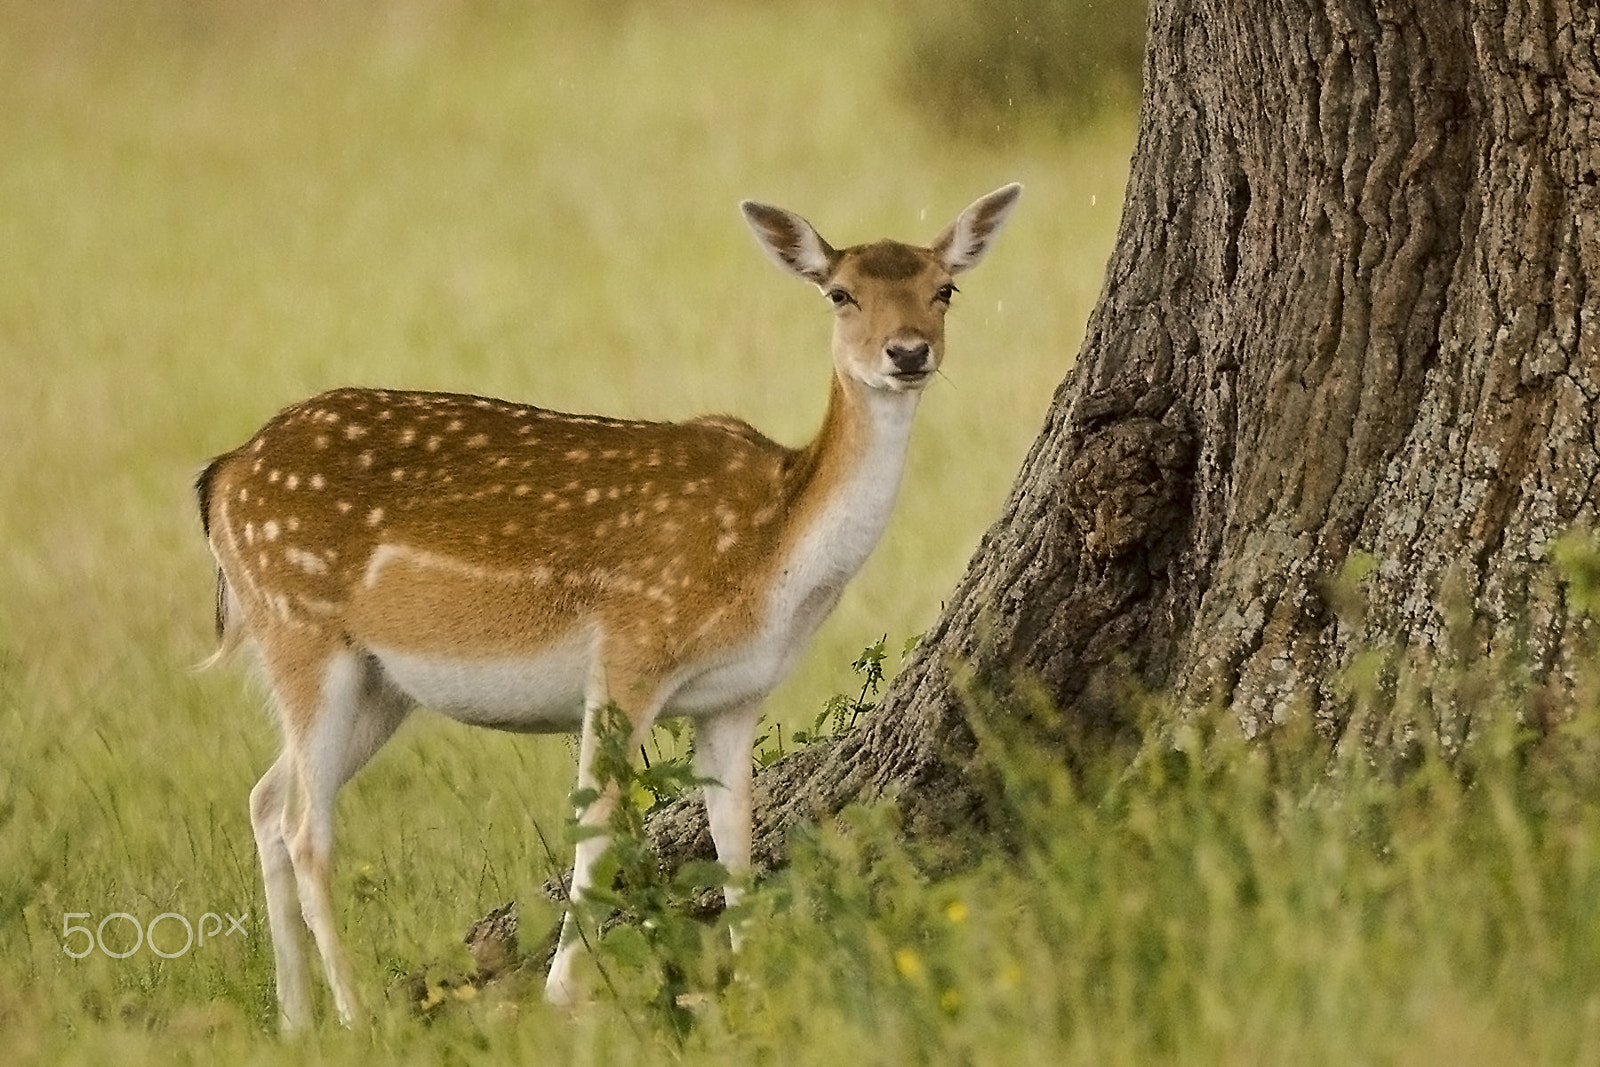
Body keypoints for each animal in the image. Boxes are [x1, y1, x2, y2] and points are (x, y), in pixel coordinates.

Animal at [196, 183, 1021, 1029]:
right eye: (840, 292)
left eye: (943, 289)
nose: (909, 352)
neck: (775, 557)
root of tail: (221, 478)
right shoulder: (633, 644)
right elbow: (596, 816)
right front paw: (566, 991)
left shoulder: (734, 696)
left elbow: (735, 829)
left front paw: (753, 981)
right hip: (300, 623)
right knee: (303, 825)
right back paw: (354, 1016)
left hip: (379, 682)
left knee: (265, 799)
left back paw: (296, 1019)